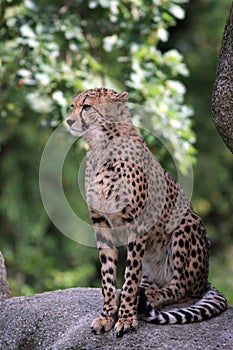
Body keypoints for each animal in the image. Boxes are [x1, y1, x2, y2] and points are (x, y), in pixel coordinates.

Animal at [66, 87, 228, 336]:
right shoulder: (100, 222)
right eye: (72, 106)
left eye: (86, 106)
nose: (68, 121)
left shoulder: (137, 223)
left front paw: (126, 318)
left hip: (185, 222)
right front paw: (107, 315)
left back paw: (150, 297)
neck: (101, 147)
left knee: (181, 289)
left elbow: (130, 275)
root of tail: (205, 277)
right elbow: (107, 275)